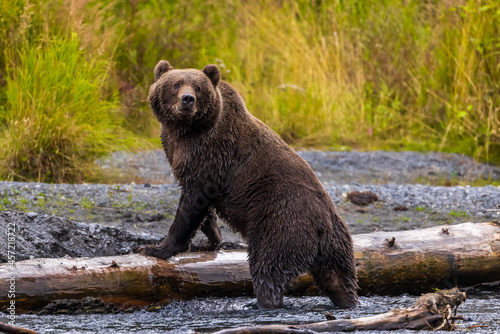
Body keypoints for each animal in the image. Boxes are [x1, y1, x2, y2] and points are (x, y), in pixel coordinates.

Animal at [141, 59, 360, 308]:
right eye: (176, 83)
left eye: (197, 87)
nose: (187, 99)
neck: (186, 131)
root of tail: (324, 228)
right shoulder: (181, 153)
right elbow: (202, 207)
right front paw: (210, 240)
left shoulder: (211, 156)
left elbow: (191, 205)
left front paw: (155, 248)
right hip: (338, 246)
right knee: (339, 278)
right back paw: (347, 299)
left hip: (281, 224)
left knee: (267, 267)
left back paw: (262, 302)